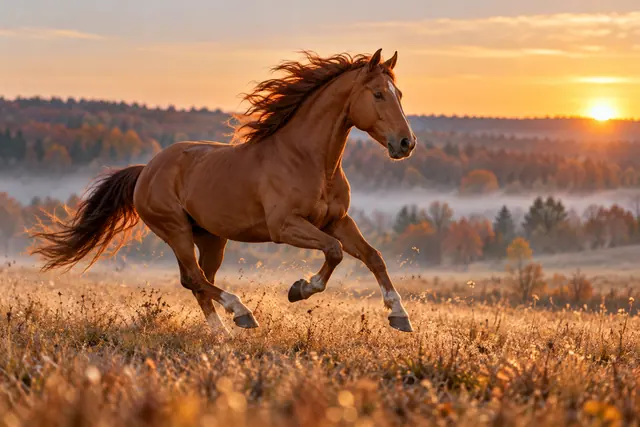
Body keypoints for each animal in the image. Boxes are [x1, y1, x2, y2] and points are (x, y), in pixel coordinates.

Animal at [29, 49, 418, 334]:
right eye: (378, 94)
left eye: (399, 94)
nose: (406, 143)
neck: (309, 160)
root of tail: (145, 171)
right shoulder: (285, 226)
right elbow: (334, 252)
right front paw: (299, 289)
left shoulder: (337, 221)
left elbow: (373, 257)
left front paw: (399, 316)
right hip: (176, 231)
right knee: (195, 278)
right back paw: (239, 315)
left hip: (211, 238)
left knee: (199, 280)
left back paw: (223, 331)